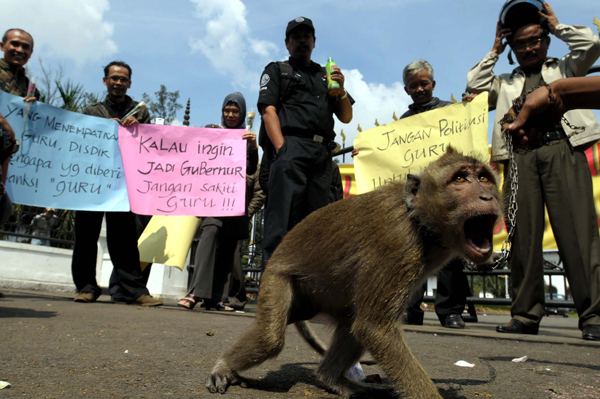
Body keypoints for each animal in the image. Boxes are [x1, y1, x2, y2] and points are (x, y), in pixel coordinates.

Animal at [207, 148, 502, 399]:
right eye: (460, 179)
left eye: (484, 178)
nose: (488, 196)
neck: (419, 220)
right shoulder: (396, 242)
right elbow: (376, 328)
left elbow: (368, 326)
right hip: (276, 279)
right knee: (270, 338)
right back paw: (223, 367)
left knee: (350, 321)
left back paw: (332, 379)